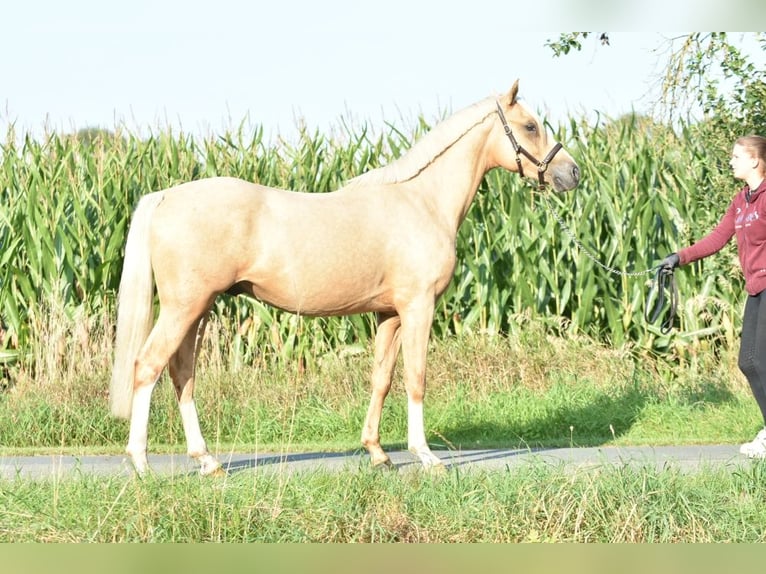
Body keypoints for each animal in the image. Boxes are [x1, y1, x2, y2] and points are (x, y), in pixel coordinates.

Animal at [111, 81, 584, 476]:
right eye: (530, 125)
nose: (572, 173)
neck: (422, 201)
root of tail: (166, 196)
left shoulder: (390, 315)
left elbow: (382, 378)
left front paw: (377, 453)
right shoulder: (419, 307)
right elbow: (416, 377)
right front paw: (426, 456)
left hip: (199, 310)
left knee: (182, 373)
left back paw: (207, 461)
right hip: (184, 307)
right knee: (148, 366)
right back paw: (142, 464)